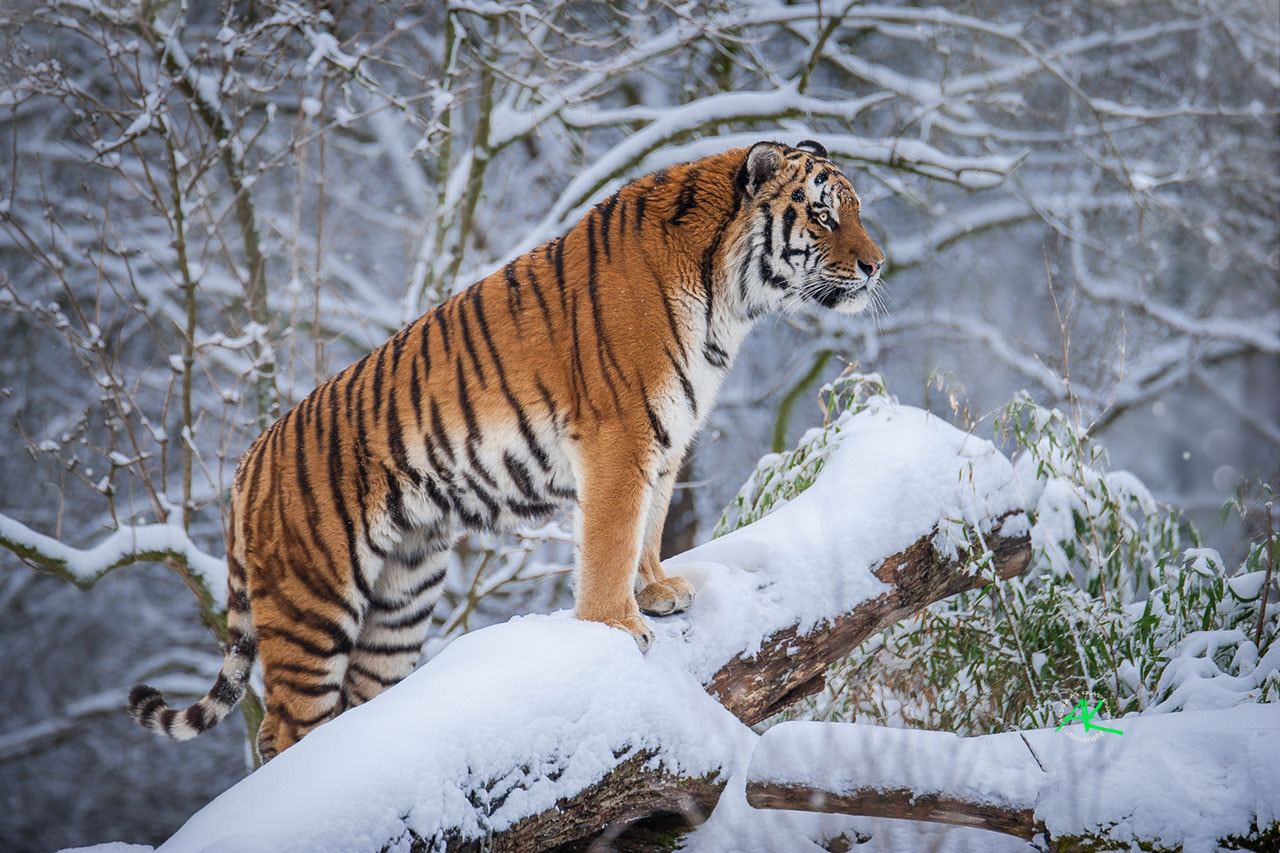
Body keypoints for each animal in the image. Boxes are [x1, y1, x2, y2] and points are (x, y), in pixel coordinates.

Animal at [127, 139, 886, 761]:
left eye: (855, 212)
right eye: (824, 217)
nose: (877, 266)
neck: (728, 299)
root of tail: (247, 462)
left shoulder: (668, 441)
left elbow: (649, 526)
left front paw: (657, 590)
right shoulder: (619, 437)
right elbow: (611, 537)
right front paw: (616, 622)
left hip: (401, 596)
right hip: (312, 603)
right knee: (282, 730)